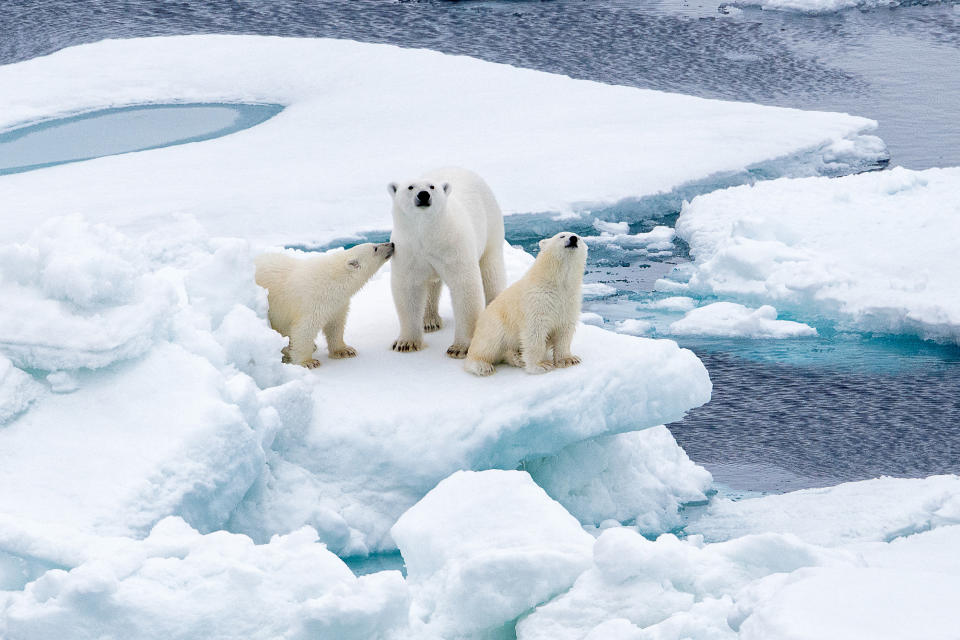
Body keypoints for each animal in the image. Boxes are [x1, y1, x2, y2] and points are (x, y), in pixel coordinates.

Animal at [386, 168, 506, 358]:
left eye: (432, 187)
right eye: (410, 187)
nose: (423, 195)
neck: (427, 234)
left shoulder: (453, 245)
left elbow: (464, 286)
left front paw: (460, 348)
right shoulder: (408, 249)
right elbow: (408, 288)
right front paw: (405, 343)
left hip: (491, 223)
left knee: (491, 272)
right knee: (431, 285)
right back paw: (429, 321)